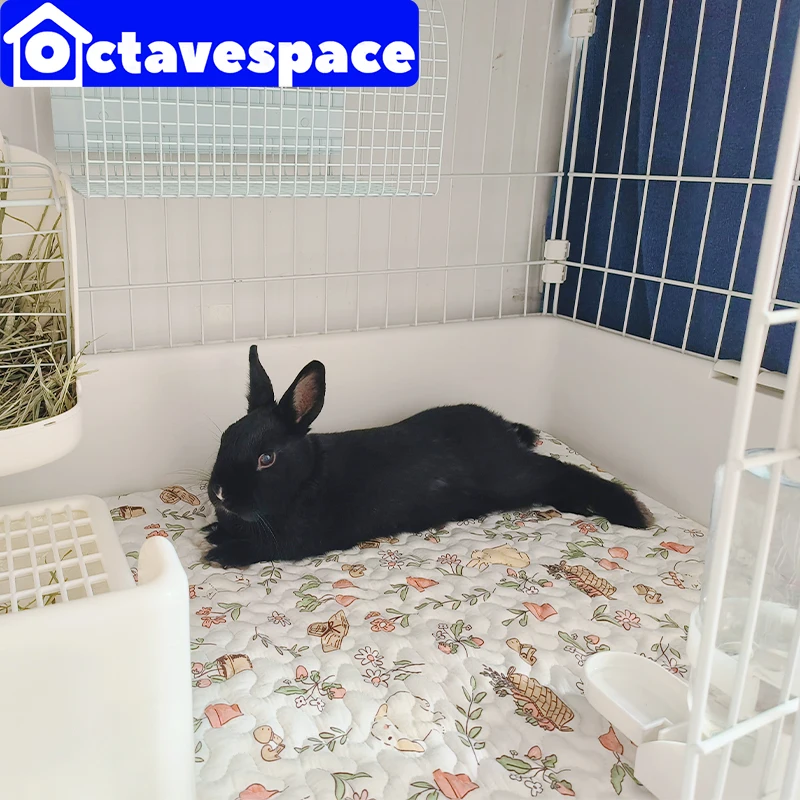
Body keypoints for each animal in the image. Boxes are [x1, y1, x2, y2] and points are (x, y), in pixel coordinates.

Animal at [203, 345, 654, 568]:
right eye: (225, 437)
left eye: (266, 459)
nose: (219, 493)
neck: (307, 478)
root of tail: (502, 430)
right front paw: (214, 532)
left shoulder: (298, 540)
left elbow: (266, 549)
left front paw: (221, 552)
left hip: (514, 476)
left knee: (561, 472)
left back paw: (628, 511)